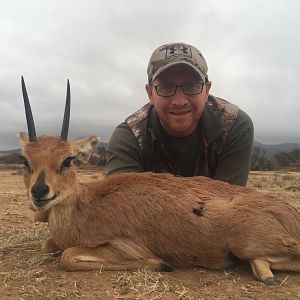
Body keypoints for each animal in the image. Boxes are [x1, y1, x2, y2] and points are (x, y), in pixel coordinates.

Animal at [19, 77, 300, 286]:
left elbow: (66, 256)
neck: (87, 207)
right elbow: (48, 245)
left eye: (67, 159)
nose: (40, 191)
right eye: (25, 160)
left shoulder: (124, 247)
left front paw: (162, 264)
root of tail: (291, 214)